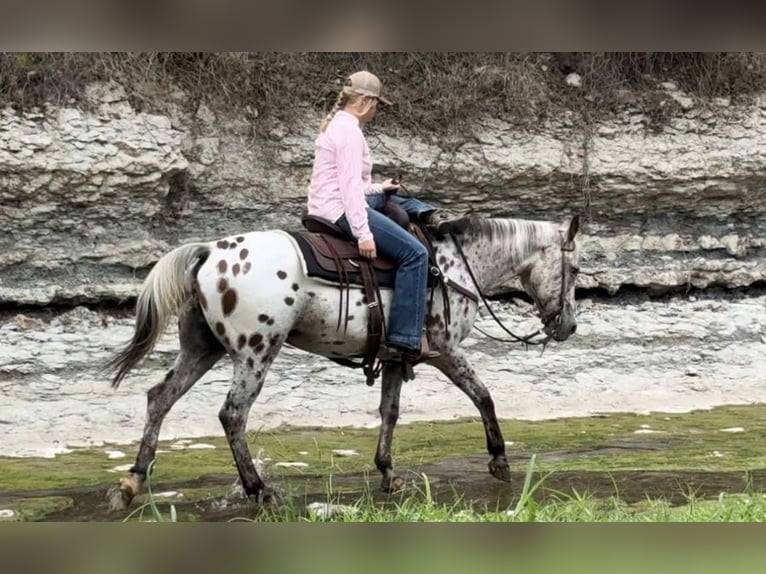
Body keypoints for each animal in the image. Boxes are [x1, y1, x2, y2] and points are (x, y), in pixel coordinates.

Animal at [105, 214, 581, 510]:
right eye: (575, 269)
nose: (569, 327)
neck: (451, 268)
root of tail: (208, 252)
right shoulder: (446, 350)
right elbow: (483, 395)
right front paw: (499, 460)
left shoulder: (396, 357)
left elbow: (390, 411)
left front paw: (388, 473)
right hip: (256, 351)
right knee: (233, 414)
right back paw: (260, 490)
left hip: (202, 349)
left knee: (159, 398)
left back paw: (133, 481)